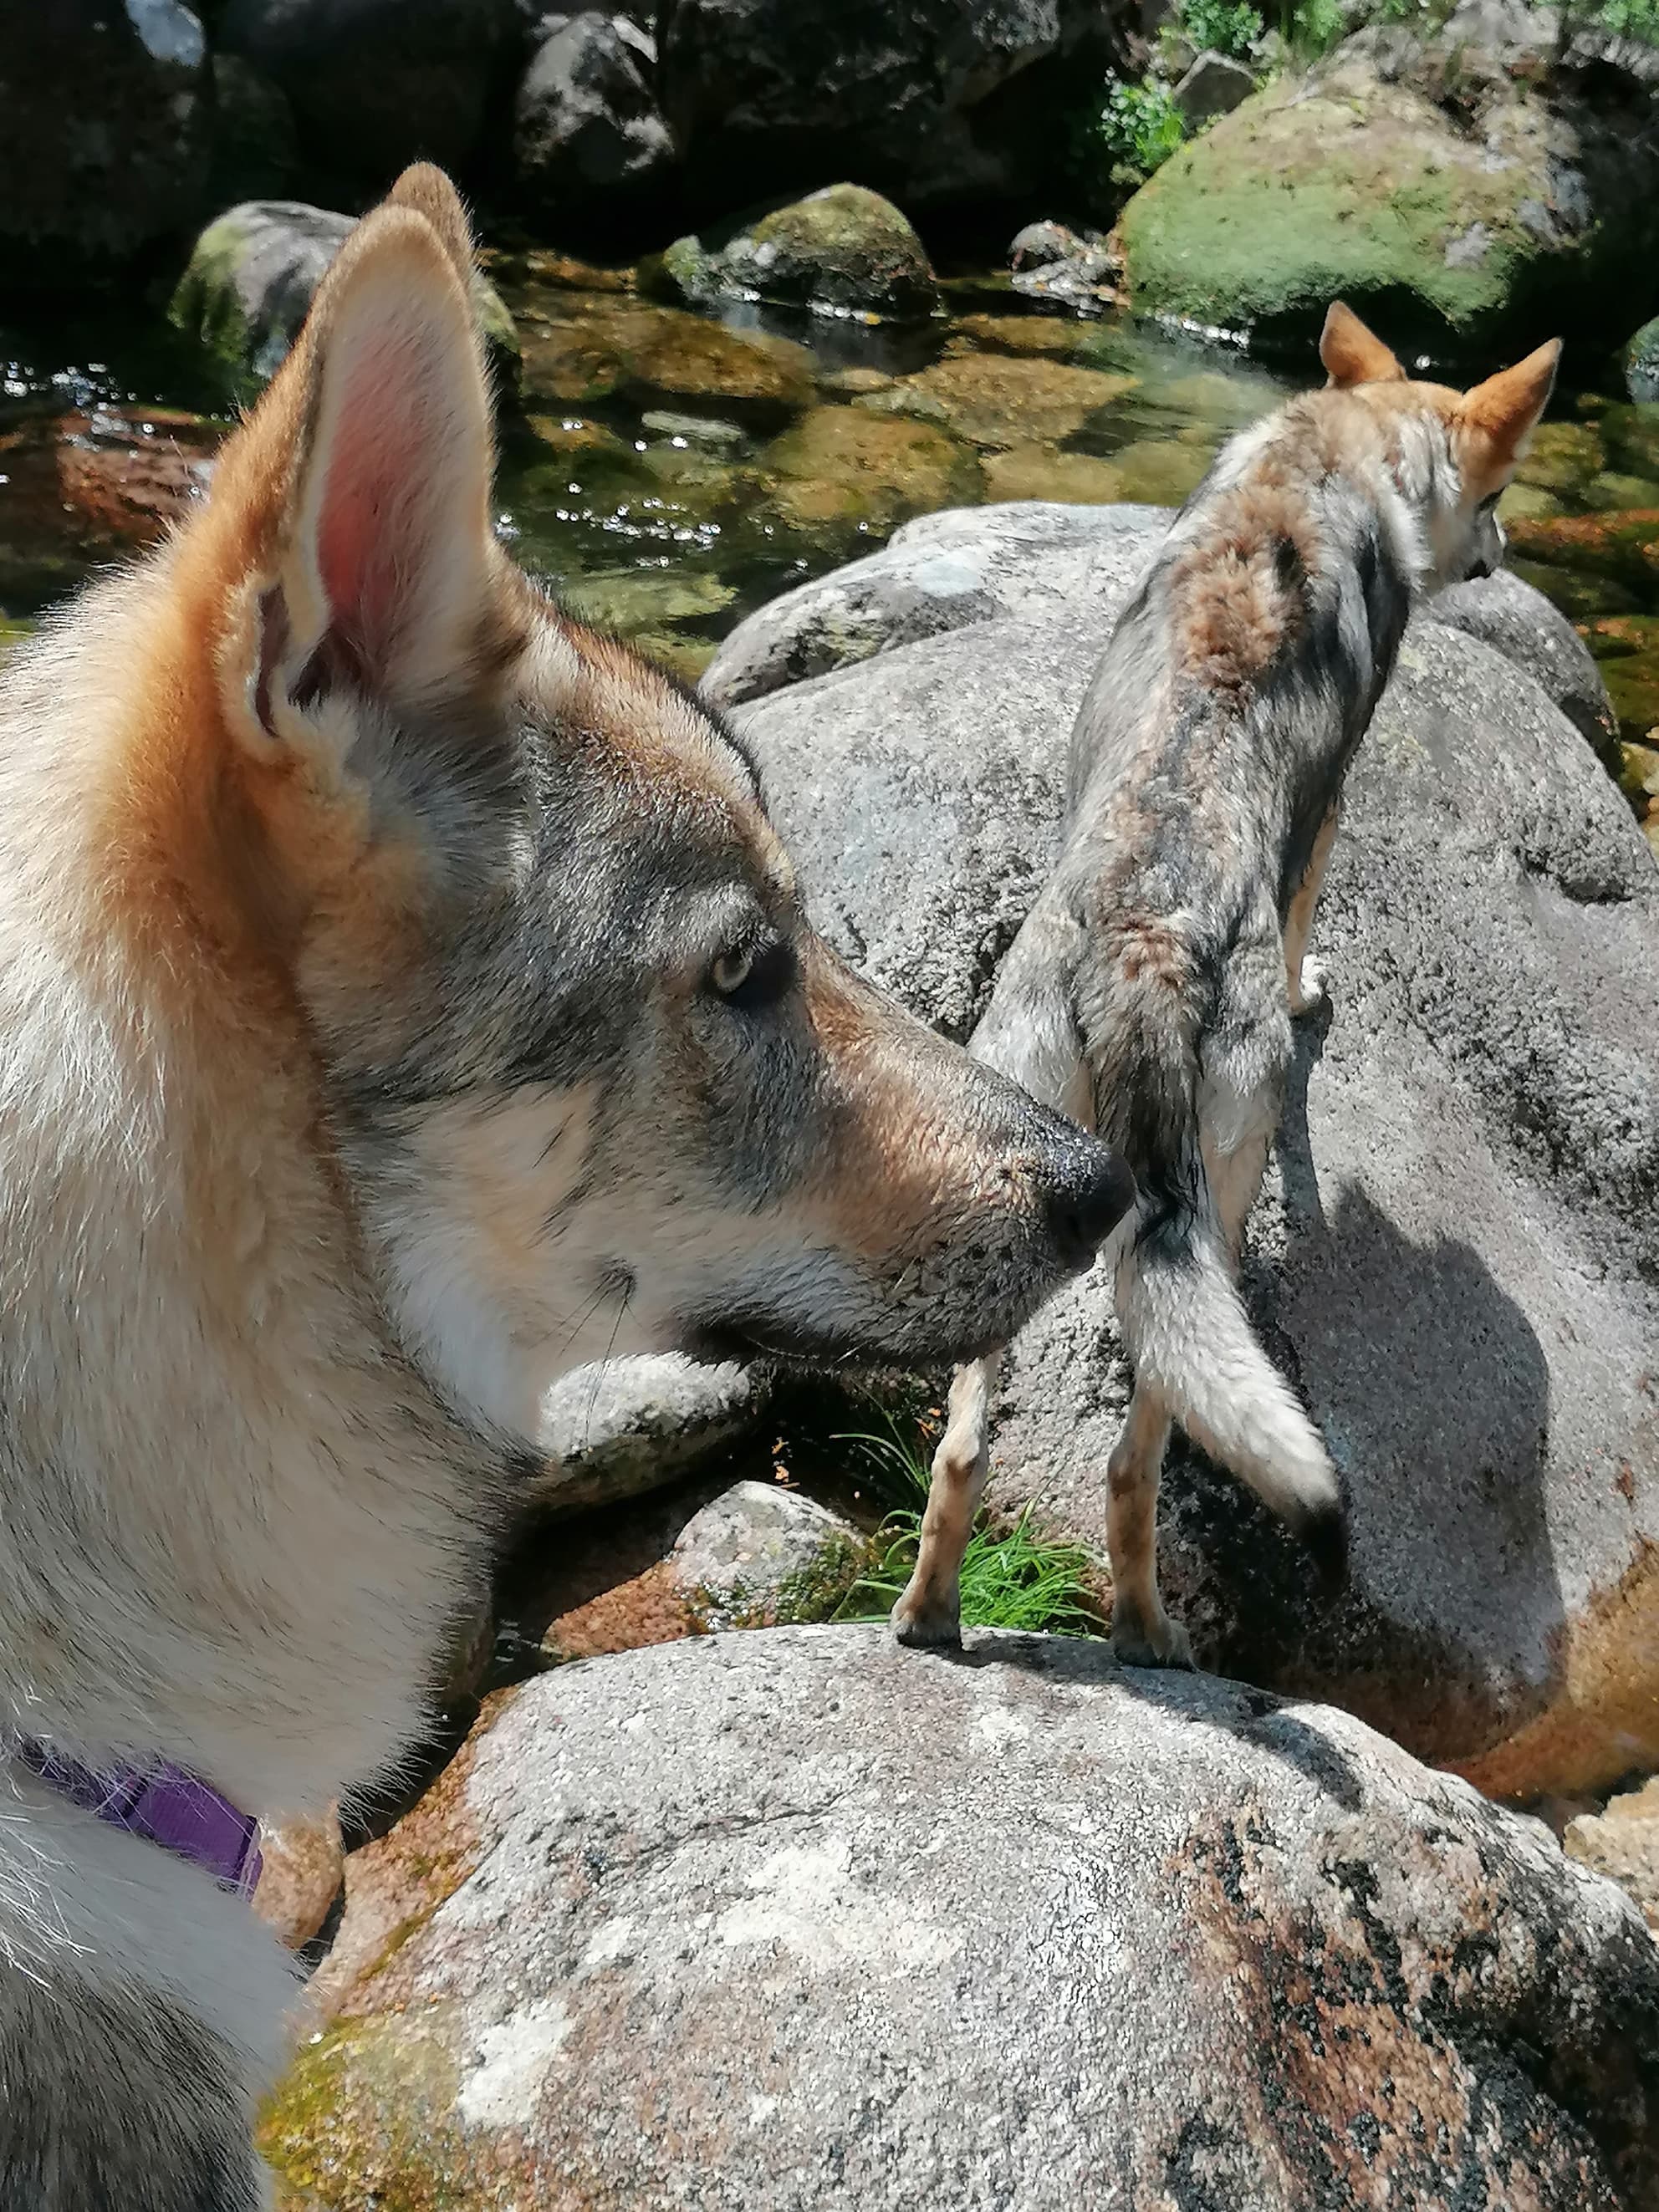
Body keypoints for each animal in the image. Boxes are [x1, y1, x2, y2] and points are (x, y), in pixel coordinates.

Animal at [891, 303, 1561, 1668]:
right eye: (1498, 493)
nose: (1503, 554)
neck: (1335, 448)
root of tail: (1144, 945)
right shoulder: (1334, 801)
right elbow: (1311, 922)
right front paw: (1313, 998)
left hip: (1018, 1192)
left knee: (964, 1448)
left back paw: (930, 1618)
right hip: (1220, 1200)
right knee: (1134, 1462)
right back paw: (1148, 1634)